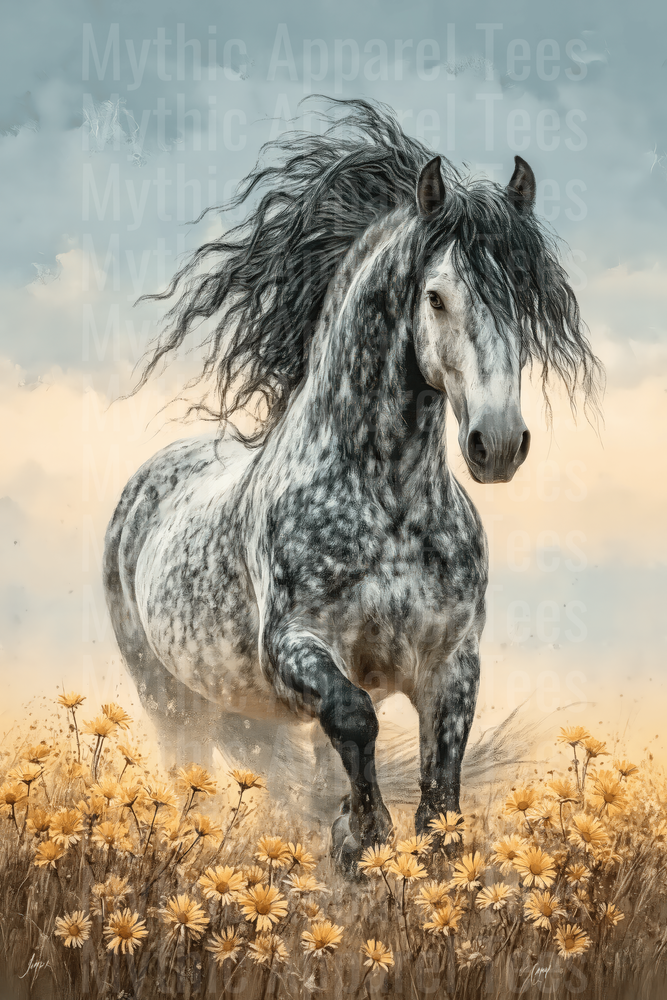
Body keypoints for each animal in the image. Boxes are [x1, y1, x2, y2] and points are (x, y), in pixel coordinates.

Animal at [104, 99, 601, 870]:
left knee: (282, 782)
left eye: (524, 298)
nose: (496, 443)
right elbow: (354, 717)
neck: (388, 505)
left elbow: (441, 793)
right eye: (436, 298)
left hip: (250, 719)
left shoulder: (450, 664)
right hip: (174, 703)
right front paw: (361, 838)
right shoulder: (296, 647)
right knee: (195, 780)